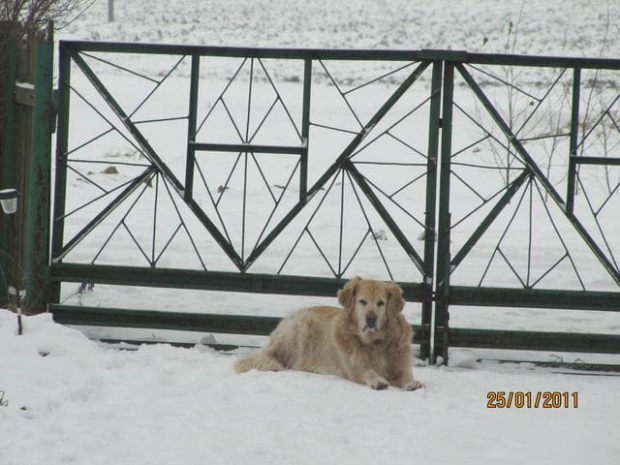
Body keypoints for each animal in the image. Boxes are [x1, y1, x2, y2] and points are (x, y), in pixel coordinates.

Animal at [235, 278, 424, 390]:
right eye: (362, 301)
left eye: (381, 303)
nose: (371, 318)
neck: (375, 343)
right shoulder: (354, 368)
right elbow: (368, 371)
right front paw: (378, 380)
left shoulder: (400, 364)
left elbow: (406, 375)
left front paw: (412, 383)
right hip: (300, 330)